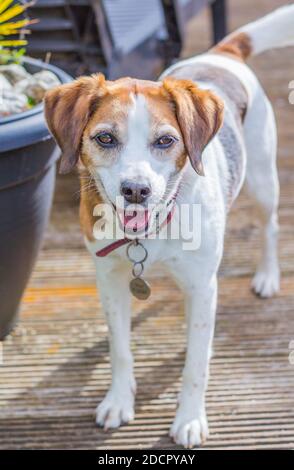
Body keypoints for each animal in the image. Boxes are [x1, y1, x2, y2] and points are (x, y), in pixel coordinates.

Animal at [43, 6, 294, 448]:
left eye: (165, 141)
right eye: (105, 138)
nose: (136, 190)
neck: (150, 232)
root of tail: (221, 52)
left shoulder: (201, 285)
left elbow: (194, 367)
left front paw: (189, 419)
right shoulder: (110, 279)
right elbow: (121, 348)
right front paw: (119, 400)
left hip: (263, 180)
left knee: (270, 226)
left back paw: (266, 275)